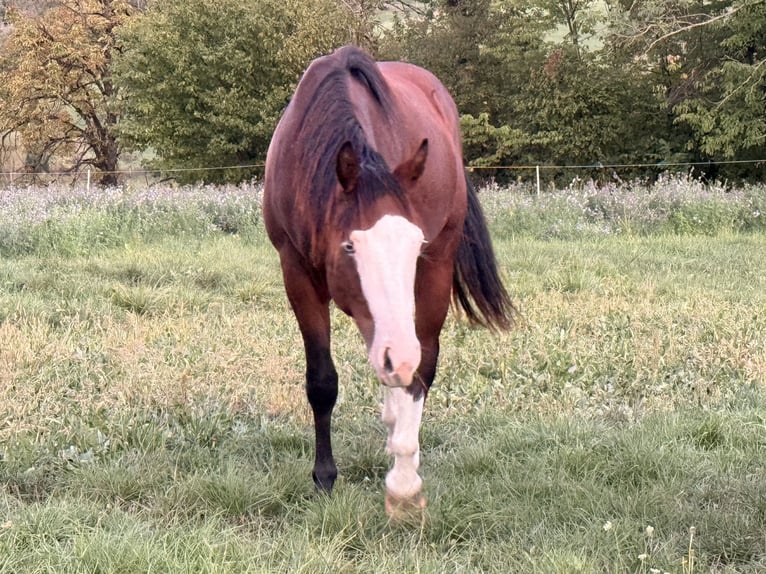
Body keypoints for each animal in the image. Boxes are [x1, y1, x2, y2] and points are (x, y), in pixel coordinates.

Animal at [263, 45, 514, 516]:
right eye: (349, 247)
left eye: (415, 245)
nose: (397, 355)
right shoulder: (296, 271)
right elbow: (321, 380)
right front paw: (324, 477)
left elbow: (414, 373)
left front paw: (401, 479)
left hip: (435, 274)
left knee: (421, 367)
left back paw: (404, 465)